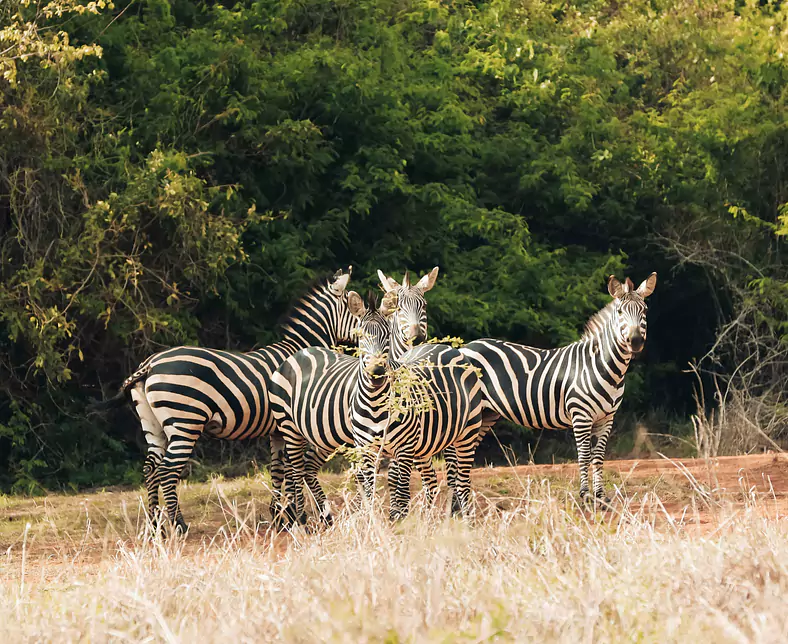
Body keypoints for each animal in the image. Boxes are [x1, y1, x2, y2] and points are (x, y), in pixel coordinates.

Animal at [89, 268, 358, 532]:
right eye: (359, 310)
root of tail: (150, 364)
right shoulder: (288, 424)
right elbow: (291, 470)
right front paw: (290, 516)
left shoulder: (277, 430)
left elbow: (278, 470)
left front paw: (280, 516)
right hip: (185, 422)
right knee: (167, 471)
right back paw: (179, 525)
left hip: (153, 425)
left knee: (150, 469)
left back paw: (156, 526)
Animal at [268, 270, 484, 524]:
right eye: (399, 308)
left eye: (423, 305)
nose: (416, 338)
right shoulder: (365, 446)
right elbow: (371, 485)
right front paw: (375, 518)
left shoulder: (402, 445)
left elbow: (393, 484)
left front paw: (394, 518)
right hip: (291, 427)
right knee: (296, 468)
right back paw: (301, 518)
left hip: (458, 432)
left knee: (456, 478)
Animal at [458, 272, 656, 504]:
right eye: (620, 312)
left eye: (644, 310)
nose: (635, 341)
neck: (602, 366)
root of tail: (465, 347)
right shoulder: (581, 416)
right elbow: (584, 455)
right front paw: (585, 495)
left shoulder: (607, 418)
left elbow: (598, 457)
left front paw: (600, 496)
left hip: (486, 414)